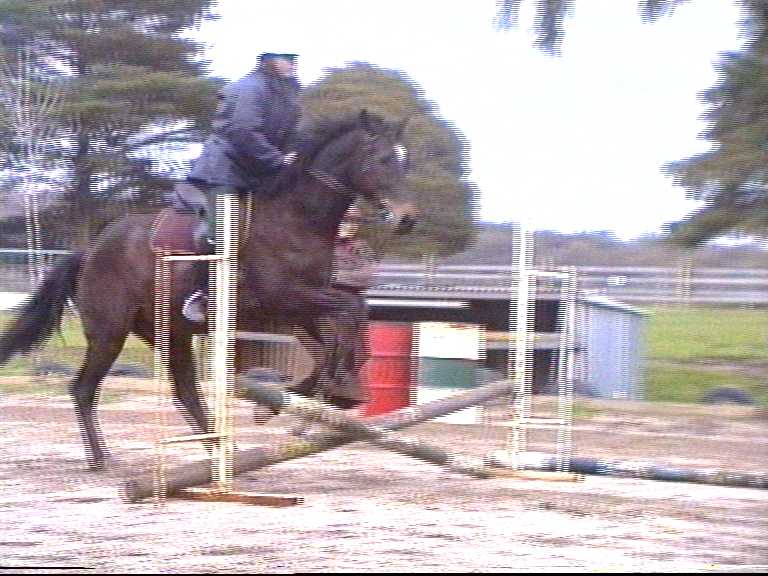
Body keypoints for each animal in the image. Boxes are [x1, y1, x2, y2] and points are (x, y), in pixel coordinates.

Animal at [0, 109, 419, 469]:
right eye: (383, 159)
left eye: (405, 161)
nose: (408, 220)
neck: (297, 219)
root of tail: (91, 251)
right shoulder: (287, 298)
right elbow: (347, 315)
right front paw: (316, 394)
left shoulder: (300, 306)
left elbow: (342, 334)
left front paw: (323, 392)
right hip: (110, 332)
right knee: (84, 389)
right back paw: (102, 458)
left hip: (172, 333)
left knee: (185, 391)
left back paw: (218, 451)